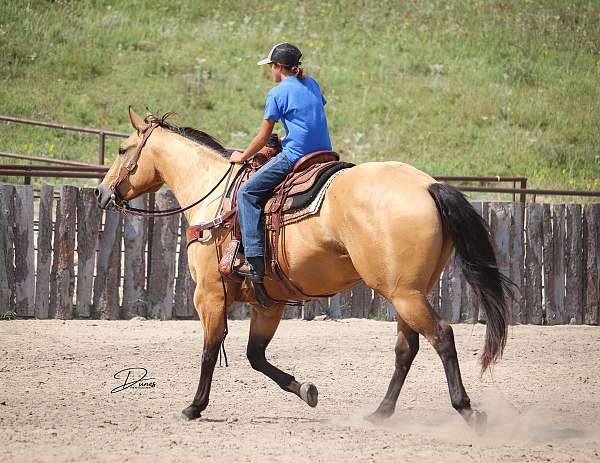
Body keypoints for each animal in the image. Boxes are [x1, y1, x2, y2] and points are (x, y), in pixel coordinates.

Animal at [95, 107, 510, 430]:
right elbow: (255, 356)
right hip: (408, 292)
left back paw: (466, 409)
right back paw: (381, 412)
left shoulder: (209, 294)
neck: (214, 196)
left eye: (121, 149)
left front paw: (194, 406)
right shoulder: (269, 303)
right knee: (407, 348)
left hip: (404, 294)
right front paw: (306, 390)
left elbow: (210, 350)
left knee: (442, 336)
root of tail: (427, 186)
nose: (101, 192)